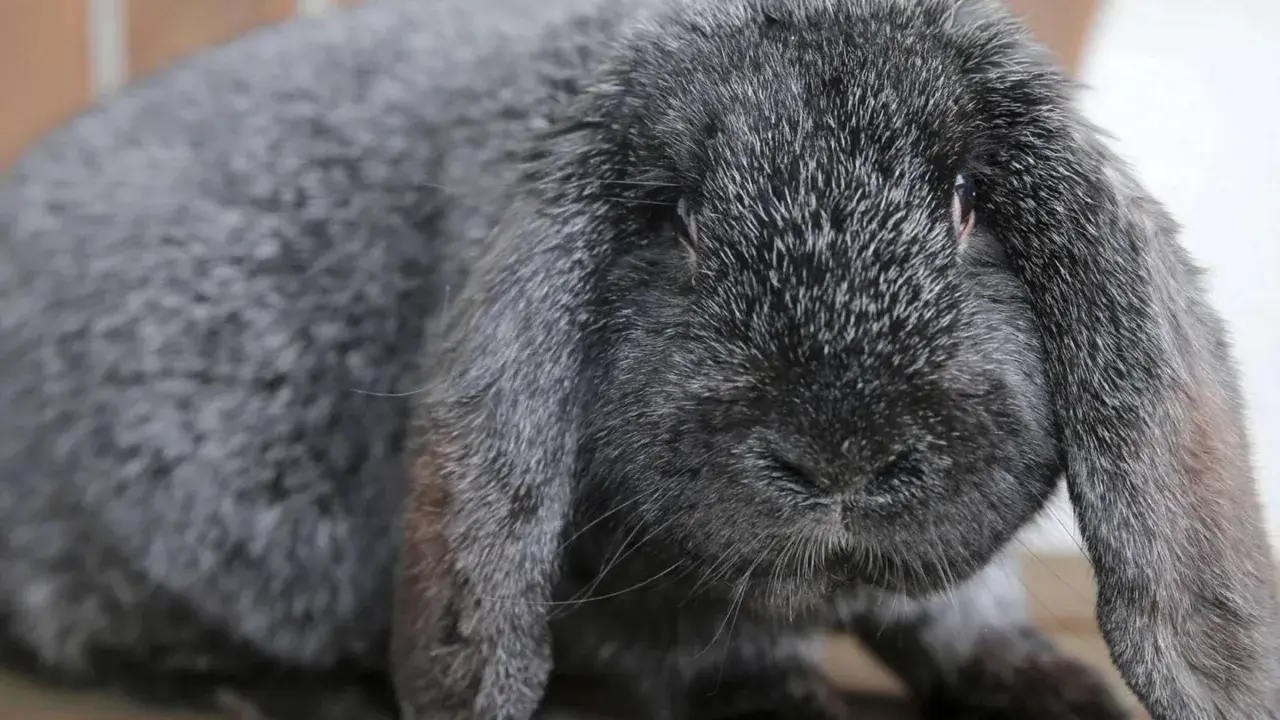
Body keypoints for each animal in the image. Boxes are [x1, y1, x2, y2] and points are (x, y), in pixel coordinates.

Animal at [0, 0, 1276, 718]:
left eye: (969, 201)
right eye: (675, 217)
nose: (839, 456)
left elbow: (966, 616)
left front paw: (1052, 693)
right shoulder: (618, 591)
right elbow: (714, 657)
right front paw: (779, 705)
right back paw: (280, 688)